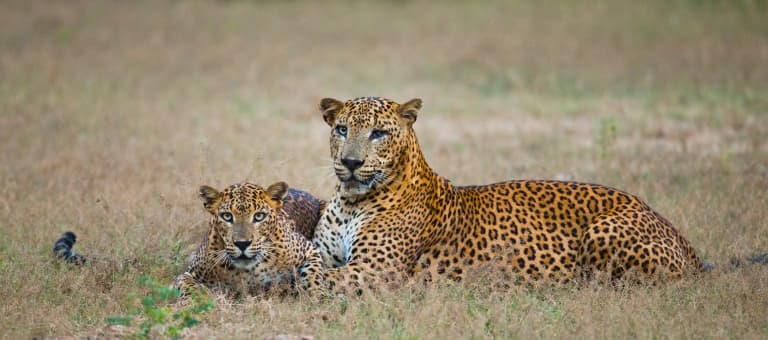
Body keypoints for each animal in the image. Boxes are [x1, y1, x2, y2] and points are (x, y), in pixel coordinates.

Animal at [312, 96, 708, 292]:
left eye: (378, 133)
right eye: (342, 129)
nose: (350, 162)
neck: (352, 203)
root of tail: (683, 240)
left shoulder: (377, 270)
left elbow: (316, 280)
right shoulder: (329, 254)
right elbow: (314, 267)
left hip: (603, 232)